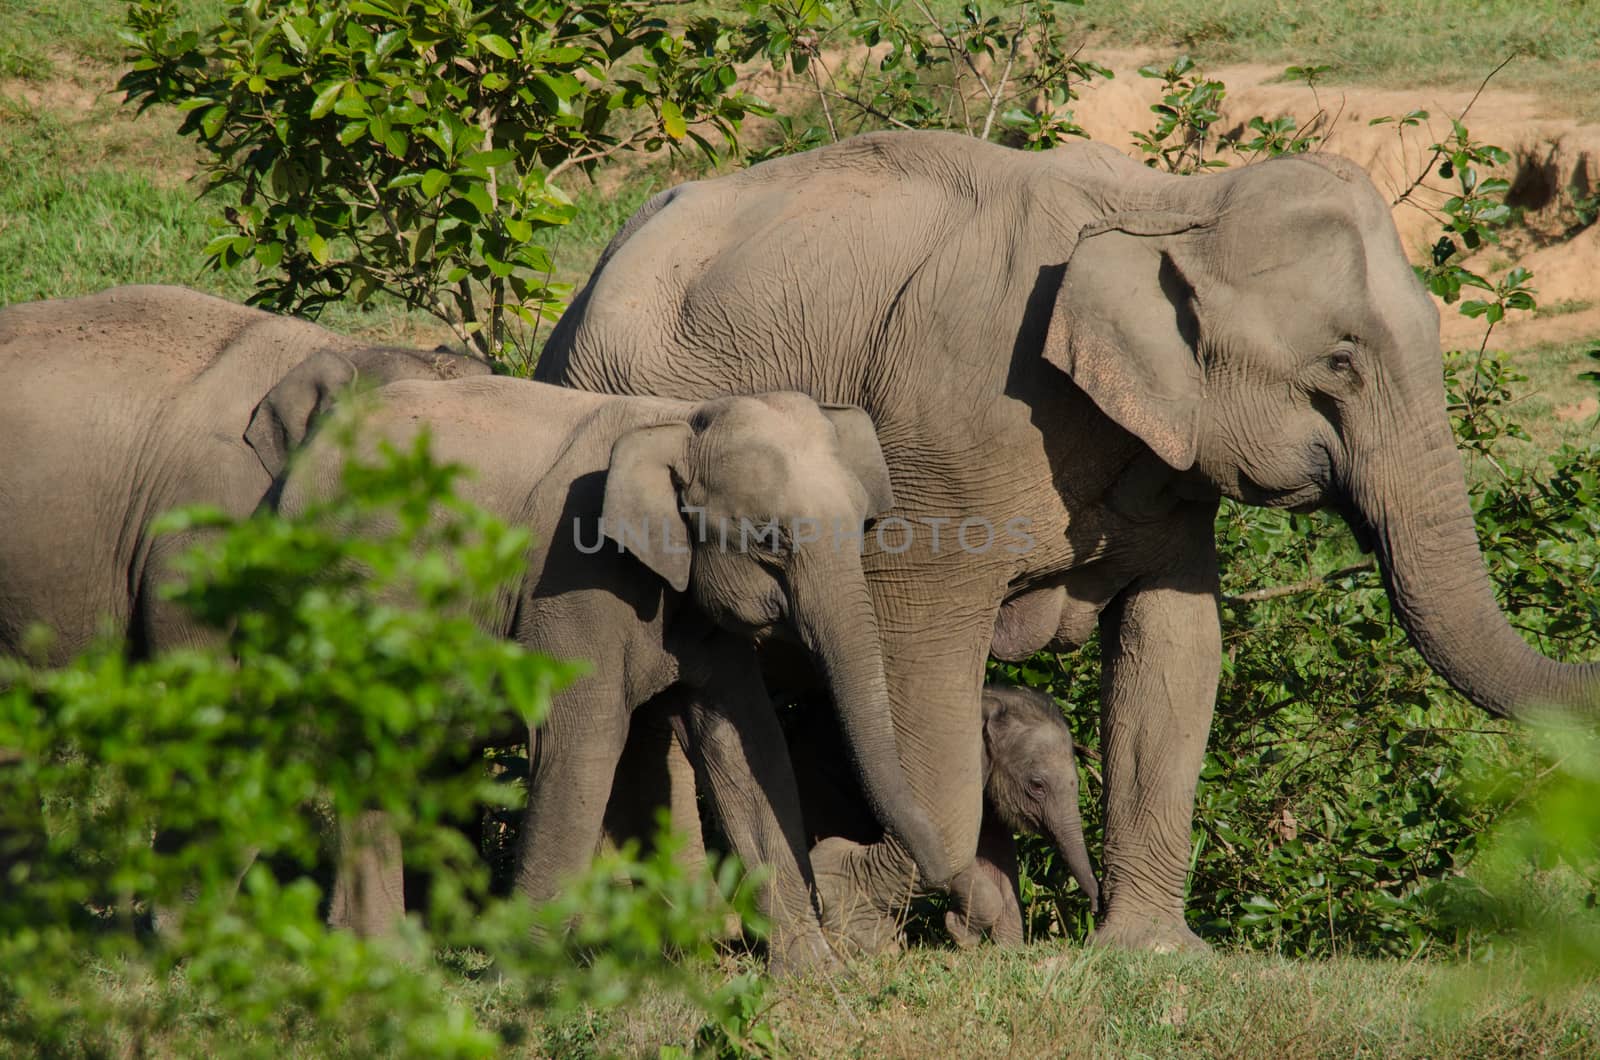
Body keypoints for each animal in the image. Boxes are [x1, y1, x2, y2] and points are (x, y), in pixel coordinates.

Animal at [275, 377, 947, 973]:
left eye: (862, 527)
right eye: (767, 542)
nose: (943, 877)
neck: (679, 421)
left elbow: (747, 747)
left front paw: (815, 975)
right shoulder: (575, 576)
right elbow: (582, 743)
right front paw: (521, 981)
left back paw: (374, 954)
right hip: (336, 608)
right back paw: (382, 958)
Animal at [540, 130, 1600, 954]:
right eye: (1340, 363)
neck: (1170, 205)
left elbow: (1178, 649)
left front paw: (1156, 954)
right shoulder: (948, 443)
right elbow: (921, 655)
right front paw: (859, 911)